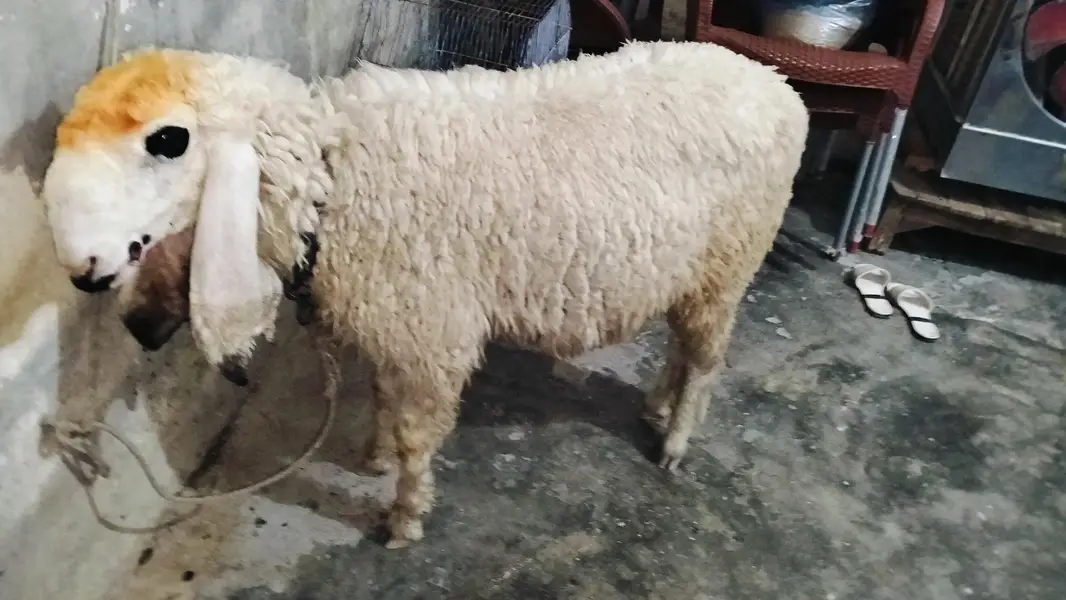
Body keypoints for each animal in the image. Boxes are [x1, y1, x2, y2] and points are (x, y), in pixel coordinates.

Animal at [41, 41, 810, 548]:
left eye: (167, 140)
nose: (86, 274)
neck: (335, 182)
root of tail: (777, 84)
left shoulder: (431, 333)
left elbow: (417, 435)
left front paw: (405, 515)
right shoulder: (396, 329)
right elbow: (383, 398)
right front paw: (376, 454)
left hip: (733, 260)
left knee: (706, 359)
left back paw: (675, 439)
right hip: (694, 272)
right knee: (683, 345)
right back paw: (655, 405)